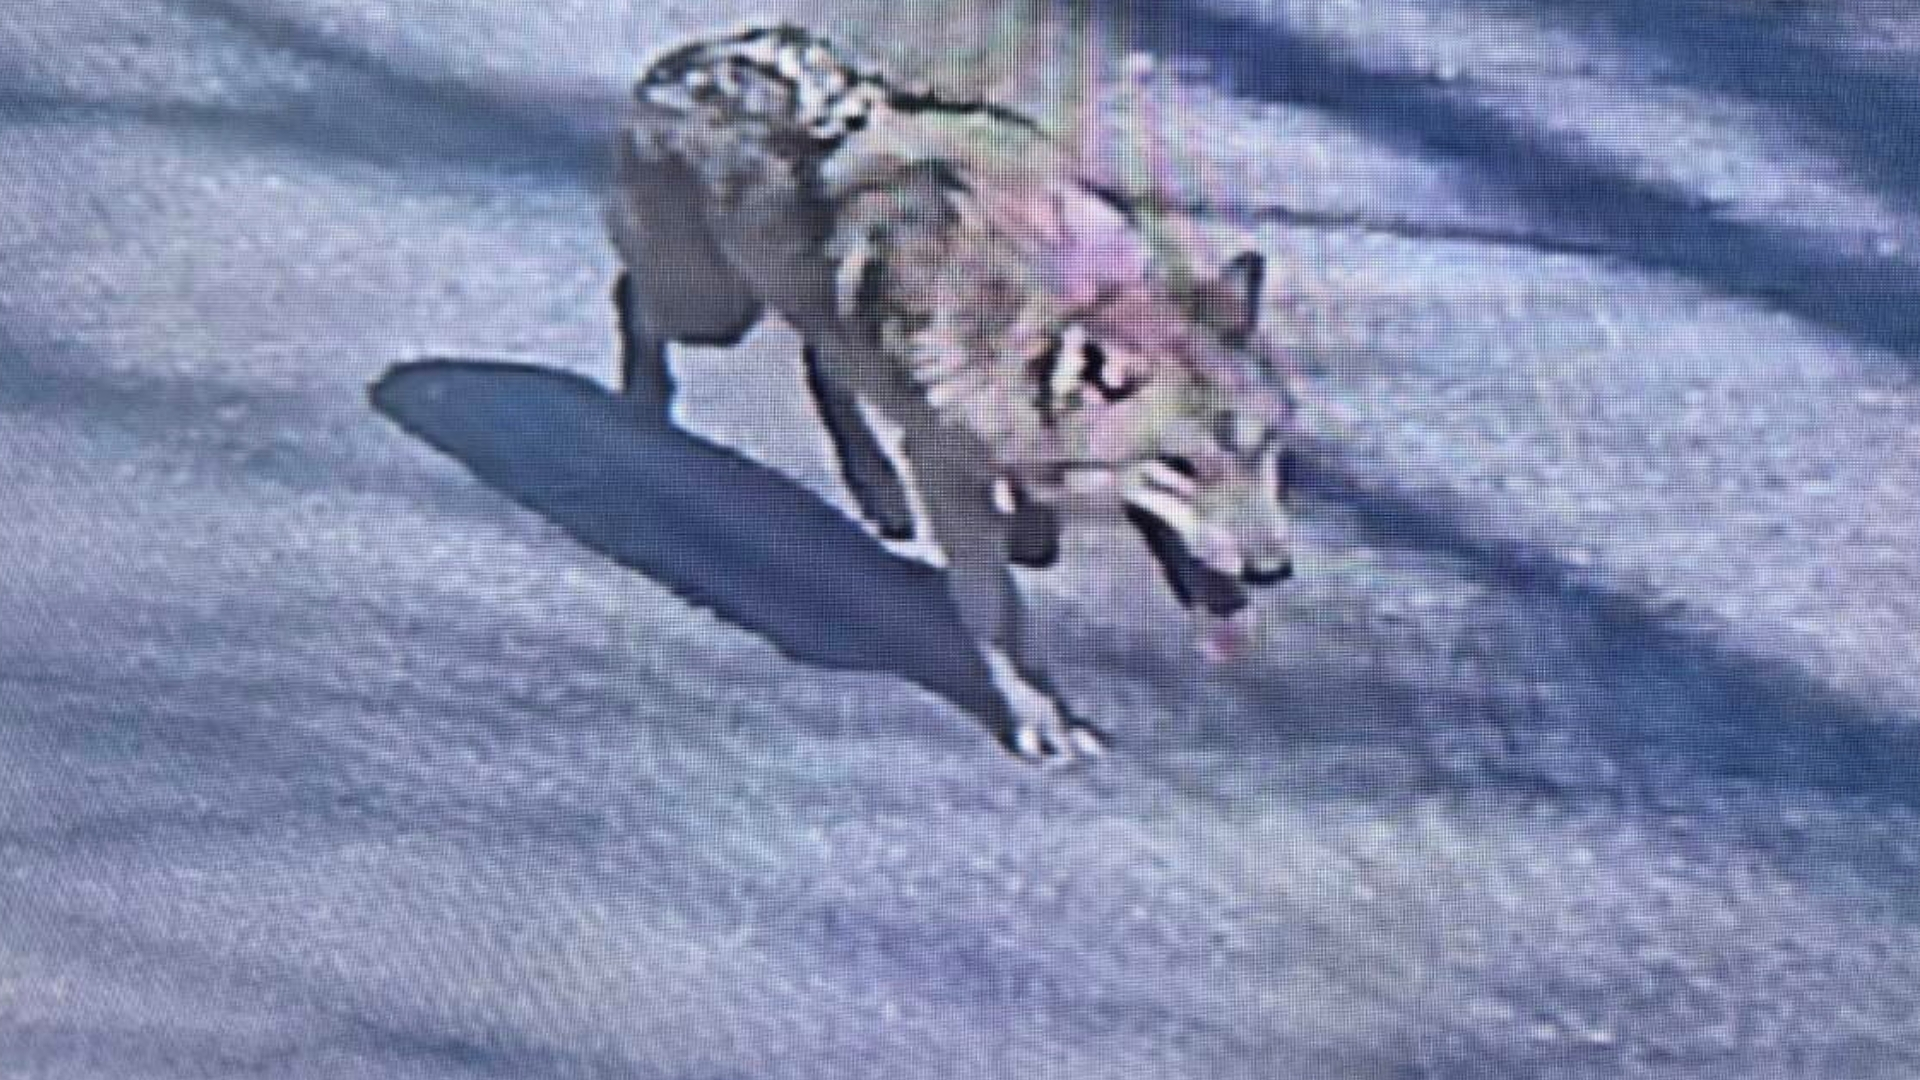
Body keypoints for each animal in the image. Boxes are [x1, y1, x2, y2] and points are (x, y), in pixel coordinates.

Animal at [604, 24, 1296, 761]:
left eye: (1264, 452)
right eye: (1180, 467)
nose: (1272, 571)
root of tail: (691, 54)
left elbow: (1040, 522)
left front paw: (1036, 530)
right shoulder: (947, 471)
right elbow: (998, 611)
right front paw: (1045, 720)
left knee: (822, 361)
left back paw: (878, 491)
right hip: (712, 312)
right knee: (635, 299)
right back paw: (643, 408)